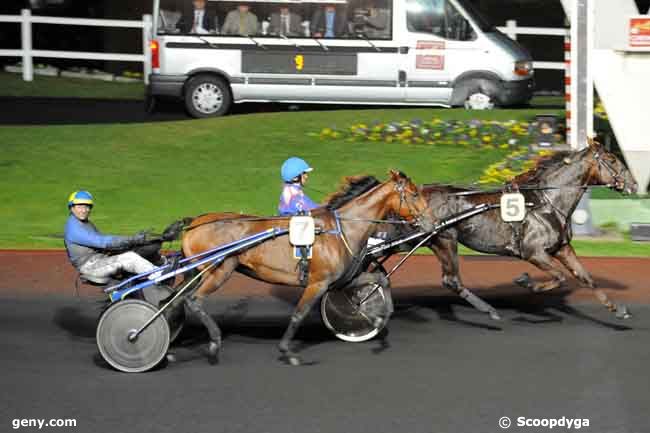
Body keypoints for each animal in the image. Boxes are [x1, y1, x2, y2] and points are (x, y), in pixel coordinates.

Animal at [176, 170, 436, 364]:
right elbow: (298, 314)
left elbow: (381, 281)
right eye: (414, 194)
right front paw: (287, 351)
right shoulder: (317, 283)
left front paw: (376, 317)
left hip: (200, 272)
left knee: (180, 300)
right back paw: (214, 342)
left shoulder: (343, 279)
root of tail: (194, 223)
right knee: (194, 300)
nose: (431, 223)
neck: (342, 229)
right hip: (219, 270)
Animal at [382, 140, 636, 318]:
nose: (633, 185)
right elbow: (559, 276)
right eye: (612, 160)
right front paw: (526, 281)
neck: (546, 201)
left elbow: (585, 277)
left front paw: (617, 309)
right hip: (444, 240)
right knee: (451, 280)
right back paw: (489, 310)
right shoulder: (534, 252)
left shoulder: (562, 248)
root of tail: (418, 194)